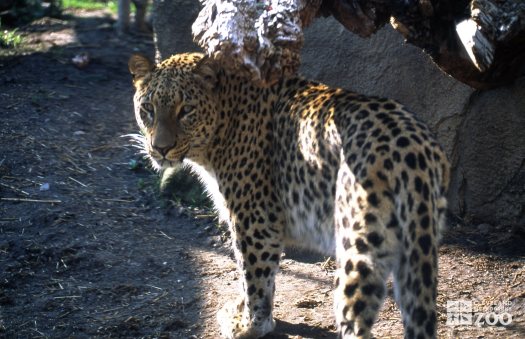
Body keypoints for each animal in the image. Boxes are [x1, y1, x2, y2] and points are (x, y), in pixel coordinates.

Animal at [128, 53, 450, 339]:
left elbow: (253, 274)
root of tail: (412, 149)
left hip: (357, 246)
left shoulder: (255, 221)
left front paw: (250, 325)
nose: (161, 148)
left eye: (186, 110)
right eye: (148, 109)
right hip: (417, 249)